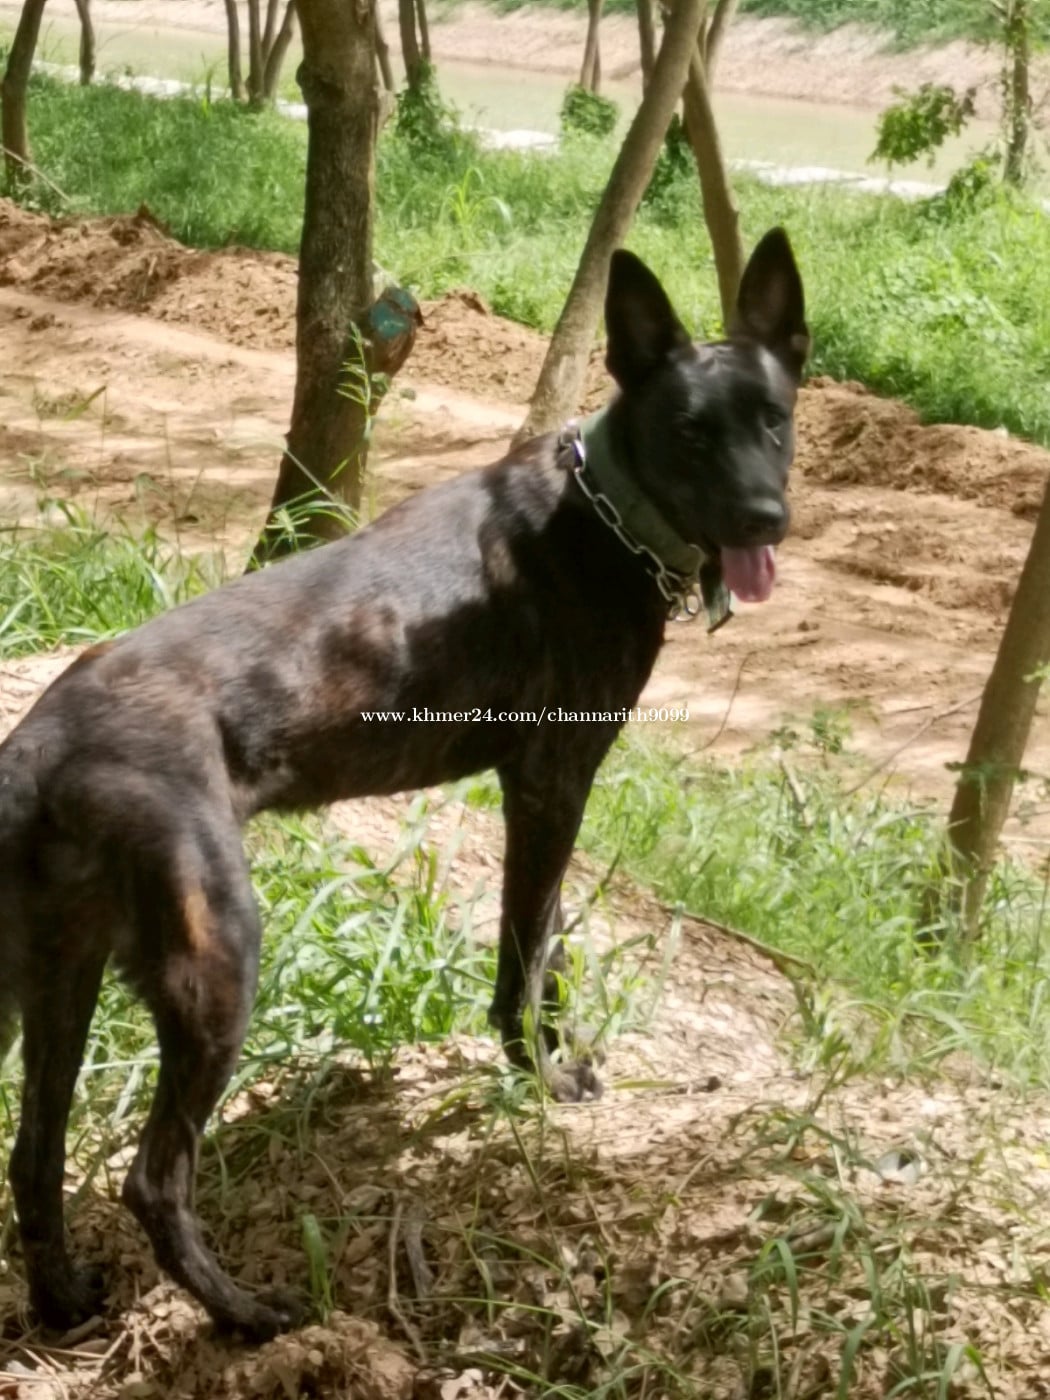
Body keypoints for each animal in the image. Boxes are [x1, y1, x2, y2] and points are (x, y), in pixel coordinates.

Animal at [0, 228, 807, 1340]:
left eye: (774, 418)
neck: (608, 508)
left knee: (32, 1159)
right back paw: (249, 1315)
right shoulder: (551, 783)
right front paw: (542, 1071)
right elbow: (527, 952)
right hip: (217, 963)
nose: (766, 515)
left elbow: (549, 943)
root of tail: (38, 743)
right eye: (690, 433)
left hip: (60, 975)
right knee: (153, 1179)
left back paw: (66, 1304)